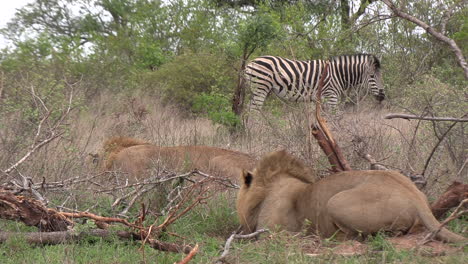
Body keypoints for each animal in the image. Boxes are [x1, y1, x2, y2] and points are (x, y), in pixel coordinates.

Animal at [243, 53, 386, 111]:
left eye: (381, 76)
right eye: (372, 76)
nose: (382, 96)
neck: (338, 74)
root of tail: (250, 62)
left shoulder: (319, 99)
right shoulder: (331, 96)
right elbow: (334, 118)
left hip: (260, 90)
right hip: (261, 88)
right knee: (254, 111)